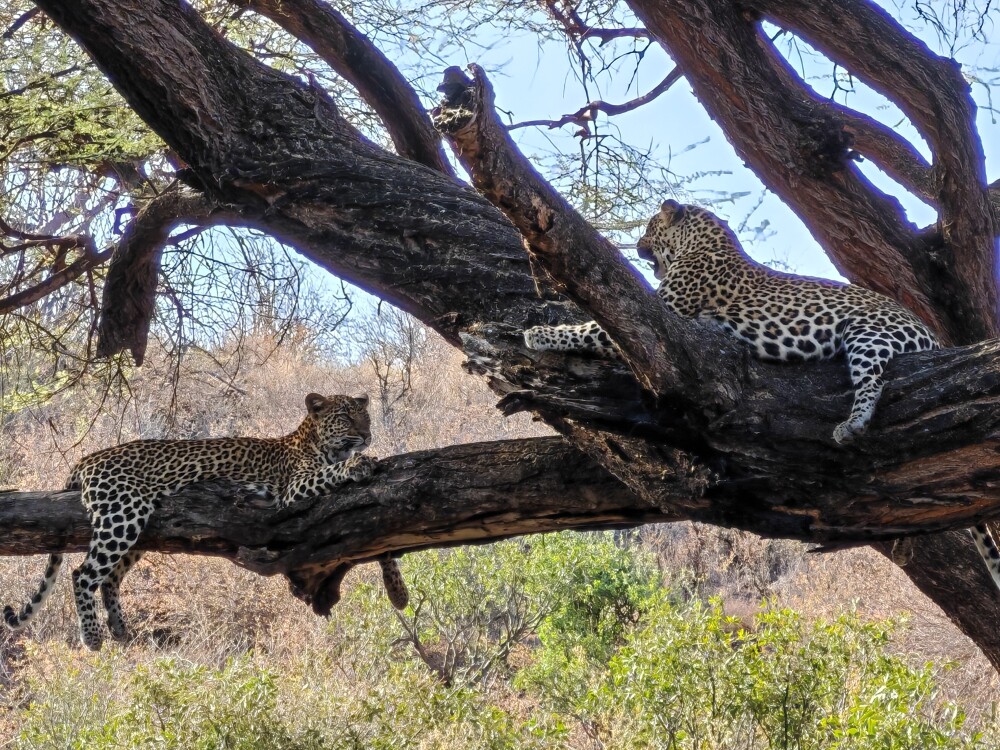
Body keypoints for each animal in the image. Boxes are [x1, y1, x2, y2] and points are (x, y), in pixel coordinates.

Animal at [4, 393, 409, 650]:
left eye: (365, 415)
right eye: (345, 417)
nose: (367, 434)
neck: (313, 441)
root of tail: (88, 458)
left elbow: (386, 542)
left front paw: (398, 592)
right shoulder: (294, 489)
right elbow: (336, 473)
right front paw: (359, 462)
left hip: (140, 527)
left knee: (110, 577)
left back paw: (118, 627)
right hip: (122, 513)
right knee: (83, 574)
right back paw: (92, 636)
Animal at [523, 199, 1000, 591]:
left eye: (648, 227)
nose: (637, 243)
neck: (705, 239)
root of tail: (930, 334)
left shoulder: (658, 316)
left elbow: (589, 327)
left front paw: (539, 334)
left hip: (869, 333)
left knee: (874, 380)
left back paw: (851, 425)